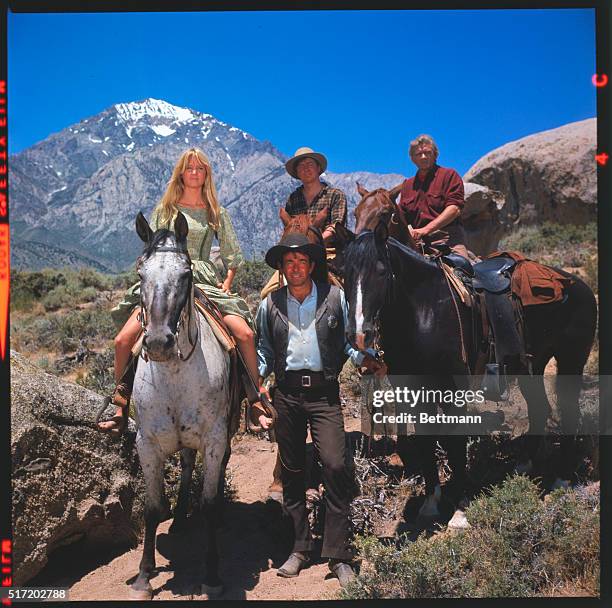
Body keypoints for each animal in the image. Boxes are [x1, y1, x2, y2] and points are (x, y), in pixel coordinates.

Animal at [130, 211, 233, 600]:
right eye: (141, 274)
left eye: (186, 274)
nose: (159, 343)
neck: (173, 373)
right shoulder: (146, 443)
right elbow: (151, 506)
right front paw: (144, 575)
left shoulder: (215, 437)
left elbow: (210, 503)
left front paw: (213, 573)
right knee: (187, 463)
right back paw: (179, 518)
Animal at [344, 218, 596, 524]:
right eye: (343, 273)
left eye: (381, 272)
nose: (359, 335)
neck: (424, 311)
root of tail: (579, 285)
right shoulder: (414, 390)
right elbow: (426, 443)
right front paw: (431, 503)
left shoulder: (454, 391)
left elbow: (455, 445)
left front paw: (460, 508)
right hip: (532, 366)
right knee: (540, 409)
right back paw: (523, 466)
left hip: (571, 360)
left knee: (570, 411)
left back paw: (561, 479)